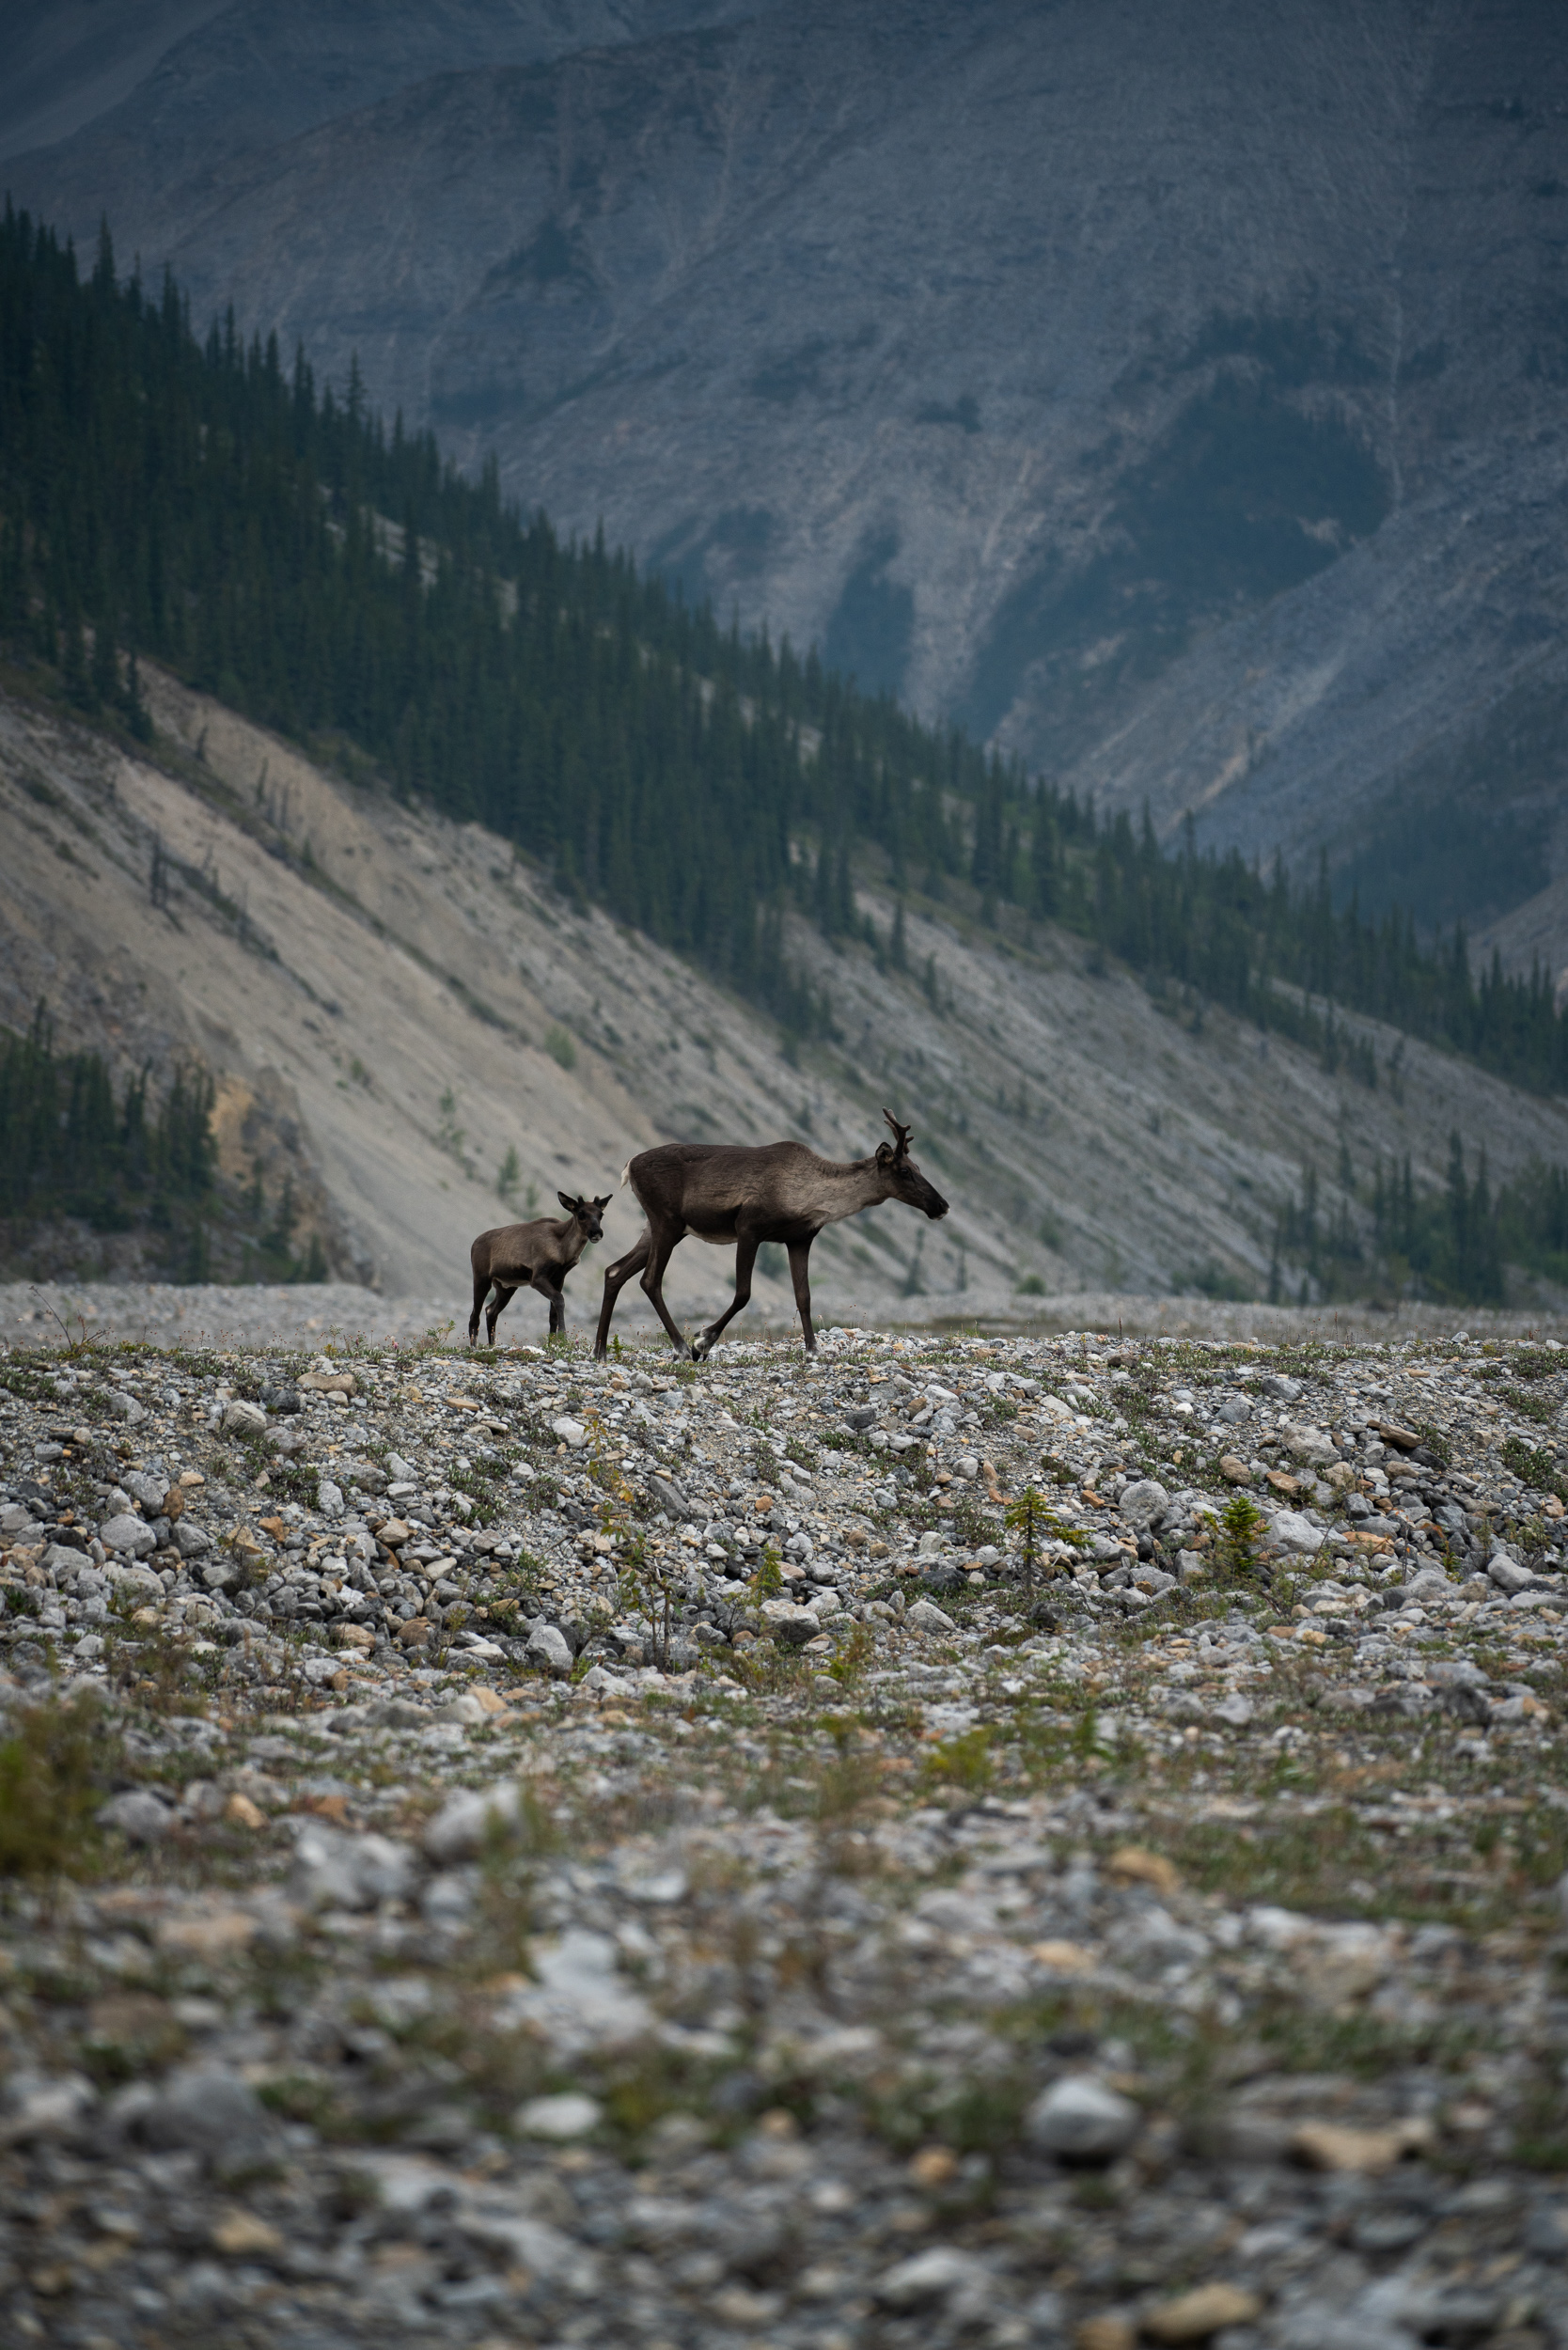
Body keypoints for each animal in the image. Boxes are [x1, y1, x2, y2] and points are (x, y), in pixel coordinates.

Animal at [470, 1194, 611, 1344]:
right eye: (581, 1213)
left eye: (601, 1214)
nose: (597, 1233)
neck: (563, 1250)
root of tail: (473, 1245)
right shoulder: (537, 1278)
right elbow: (559, 1299)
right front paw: (563, 1335)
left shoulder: (559, 1278)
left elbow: (553, 1313)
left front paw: (552, 1342)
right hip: (481, 1277)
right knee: (475, 1315)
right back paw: (474, 1346)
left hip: (506, 1287)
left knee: (490, 1311)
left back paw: (492, 1344)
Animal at [597, 1114, 945, 1372]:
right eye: (904, 1170)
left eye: (919, 1167)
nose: (942, 1206)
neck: (814, 1197)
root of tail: (629, 1165)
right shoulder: (749, 1229)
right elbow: (743, 1293)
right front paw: (702, 1341)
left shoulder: (799, 1240)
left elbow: (804, 1296)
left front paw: (813, 1351)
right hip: (666, 1222)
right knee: (649, 1280)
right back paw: (681, 1349)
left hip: (663, 1228)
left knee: (614, 1271)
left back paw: (600, 1351)